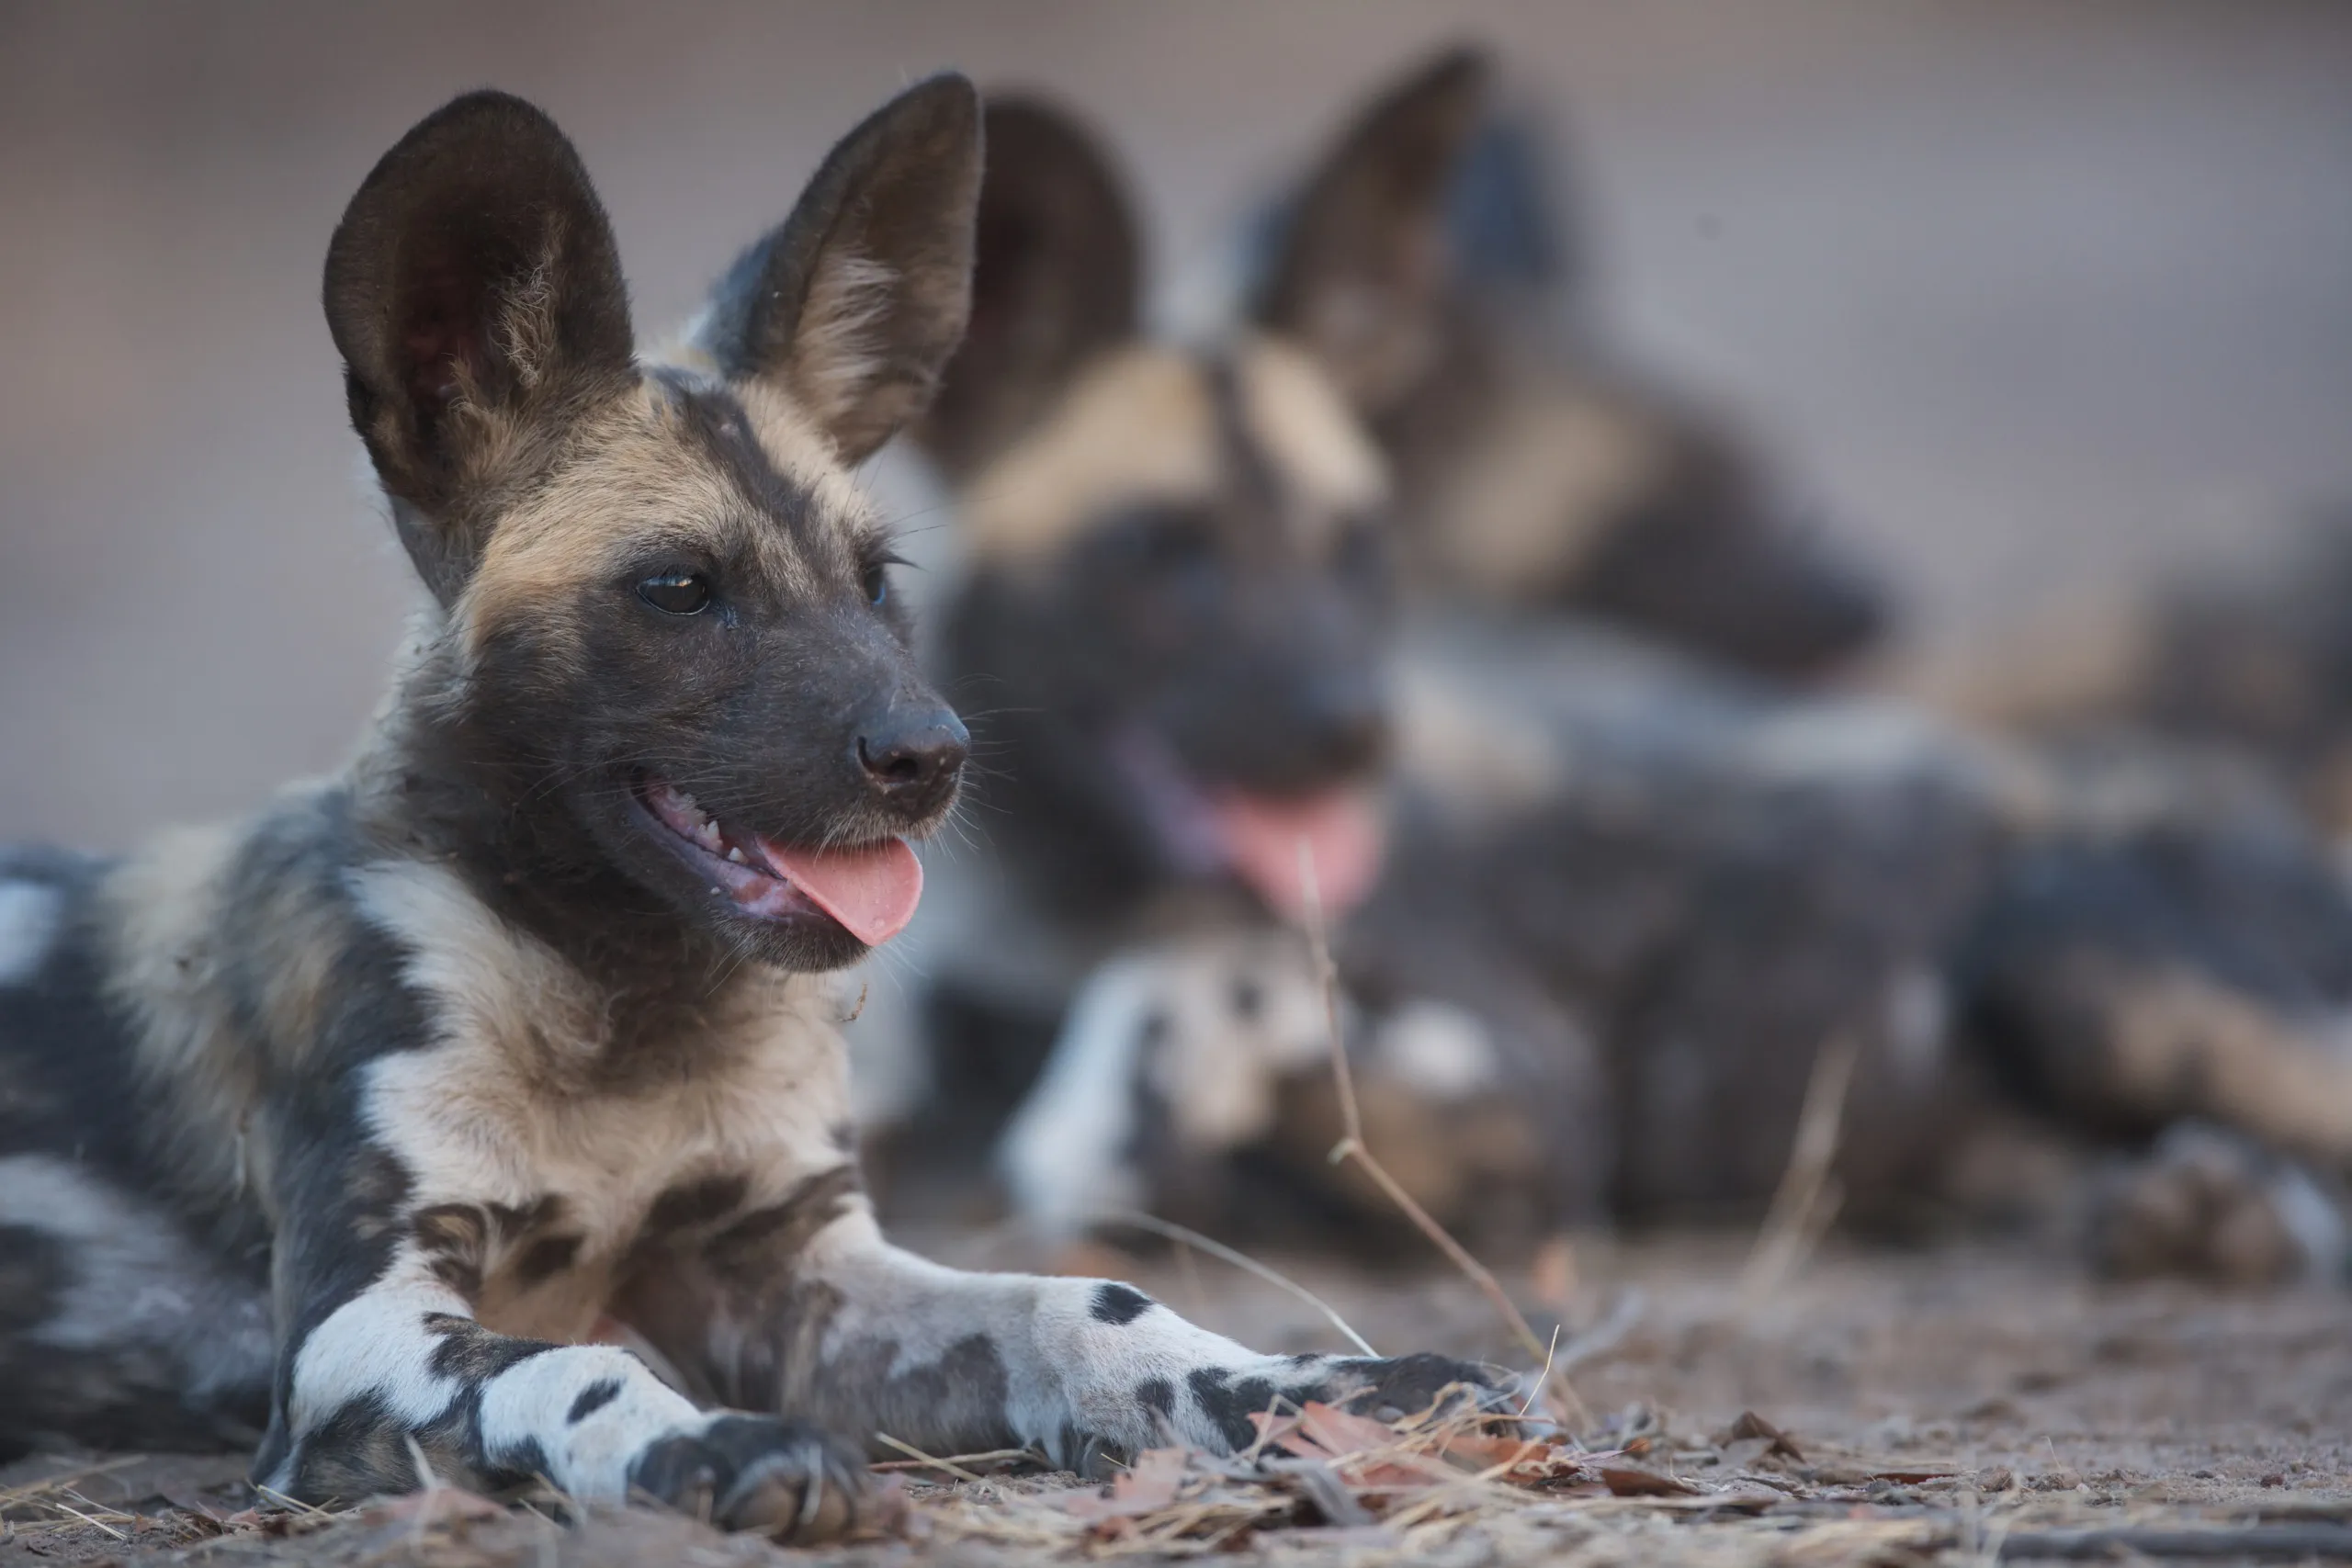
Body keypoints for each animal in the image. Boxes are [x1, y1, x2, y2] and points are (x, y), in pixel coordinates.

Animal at [0, 80, 1505, 1541]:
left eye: (877, 579)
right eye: (678, 590)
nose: (933, 755)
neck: (624, 1008)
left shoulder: (795, 1273)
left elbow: (1080, 1300)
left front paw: (1307, 1387)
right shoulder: (344, 1342)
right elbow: (572, 1362)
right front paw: (712, 1444)